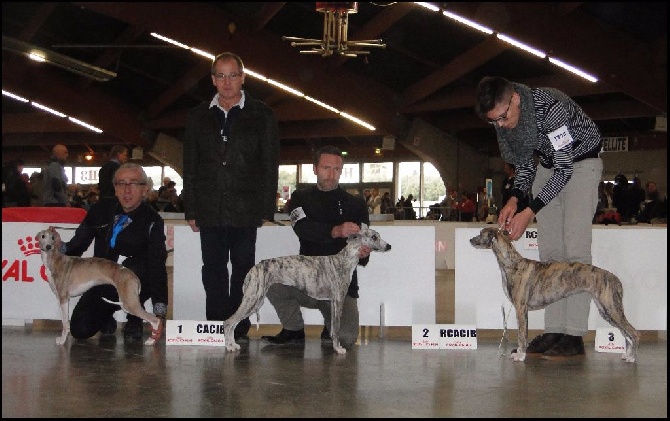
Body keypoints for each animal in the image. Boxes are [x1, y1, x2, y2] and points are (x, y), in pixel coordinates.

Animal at [36, 226, 164, 344]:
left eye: (53, 238)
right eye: (43, 236)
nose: (48, 247)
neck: (54, 260)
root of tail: (132, 275)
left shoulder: (64, 298)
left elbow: (65, 322)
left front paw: (62, 340)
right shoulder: (59, 298)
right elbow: (63, 320)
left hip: (129, 303)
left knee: (155, 320)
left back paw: (151, 340)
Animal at [224, 223, 392, 354]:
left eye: (378, 235)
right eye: (374, 237)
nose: (389, 246)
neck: (344, 261)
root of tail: (254, 268)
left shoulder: (332, 302)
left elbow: (333, 329)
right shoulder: (338, 300)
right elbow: (337, 328)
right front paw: (338, 349)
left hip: (255, 299)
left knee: (232, 322)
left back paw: (233, 345)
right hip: (253, 299)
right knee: (228, 321)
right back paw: (229, 346)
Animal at [470, 226, 644, 360]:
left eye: (481, 233)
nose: (470, 240)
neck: (512, 264)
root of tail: (614, 278)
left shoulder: (521, 309)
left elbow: (522, 336)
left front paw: (520, 355)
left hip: (612, 308)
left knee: (634, 333)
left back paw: (632, 358)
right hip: (606, 310)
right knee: (627, 333)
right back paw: (627, 355)